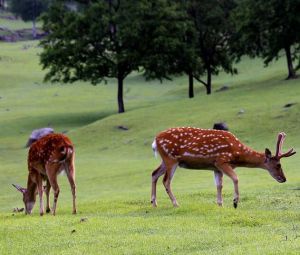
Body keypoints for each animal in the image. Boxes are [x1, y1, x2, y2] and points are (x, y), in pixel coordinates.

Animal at [151, 126, 296, 208]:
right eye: (278, 165)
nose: (284, 179)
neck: (237, 155)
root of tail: (155, 141)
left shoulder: (215, 167)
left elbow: (219, 185)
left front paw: (220, 204)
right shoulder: (221, 161)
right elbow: (236, 178)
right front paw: (235, 202)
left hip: (165, 160)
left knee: (154, 173)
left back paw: (154, 202)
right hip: (171, 159)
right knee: (166, 180)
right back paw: (176, 203)